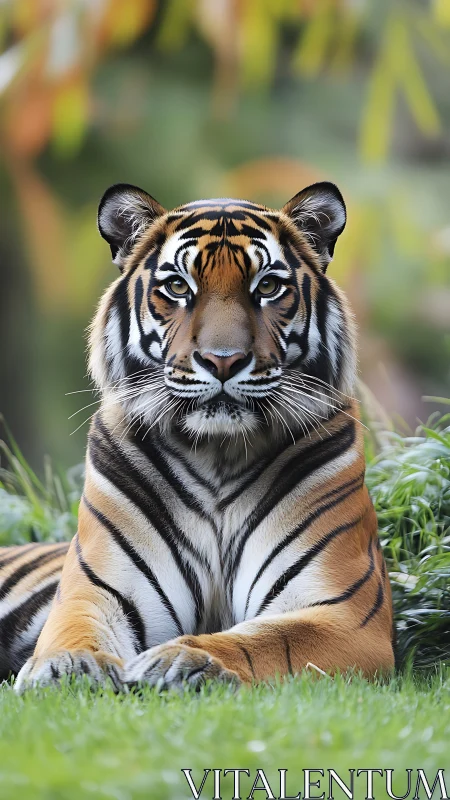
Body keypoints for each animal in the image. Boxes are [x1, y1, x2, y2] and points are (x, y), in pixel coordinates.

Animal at [0, 180, 395, 692]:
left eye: (267, 287)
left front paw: (183, 659)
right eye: (177, 287)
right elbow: (75, 630)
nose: (223, 360)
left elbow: (265, 640)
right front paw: (67, 668)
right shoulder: (97, 590)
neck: (218, 454)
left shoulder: (343, 612)